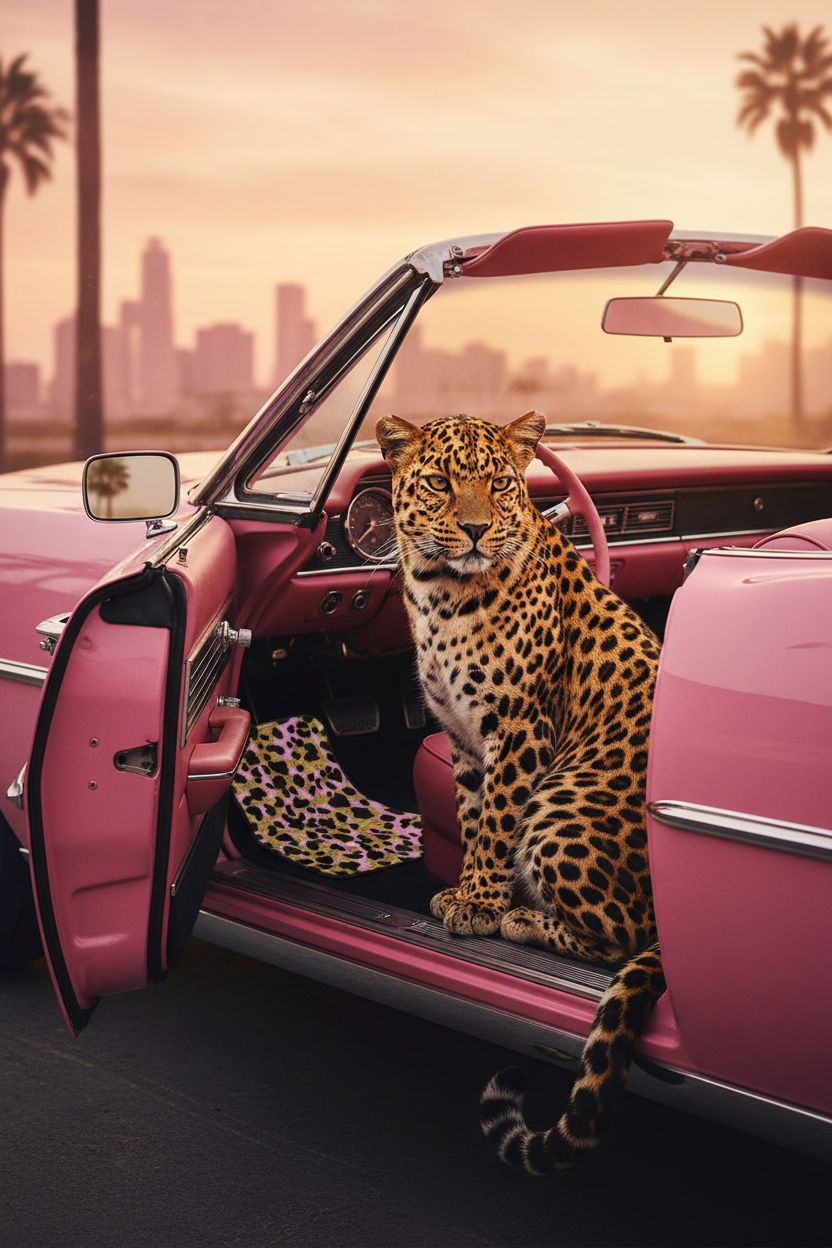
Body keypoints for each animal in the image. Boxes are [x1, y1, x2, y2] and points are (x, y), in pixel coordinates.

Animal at [375, 409, 665, 1173]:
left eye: (502, 484)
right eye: (441, 482)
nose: (477, 530)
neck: (439, 592)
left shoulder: (519, 729)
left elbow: (498, 822)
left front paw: (481, 905)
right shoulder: (460, 735)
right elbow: (474, 816)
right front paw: (466, 892)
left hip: (563, 803)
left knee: (626, 935)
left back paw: (525, 920)